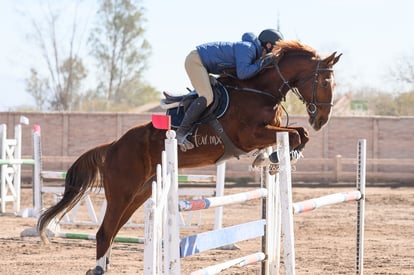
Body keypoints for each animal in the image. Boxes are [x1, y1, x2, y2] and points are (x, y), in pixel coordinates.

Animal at [36, 40, 340, 274]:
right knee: (103, 231)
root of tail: (112, 146)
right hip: (122, 192)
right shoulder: (250, 135)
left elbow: (299, 133)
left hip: (140, 194)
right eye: (325, 81)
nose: (323, 119)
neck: (260, 90)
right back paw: (99, 268)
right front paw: (275, 157)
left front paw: (272, 159)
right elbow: (295, 135)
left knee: (111, 231)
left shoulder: (270, 130)